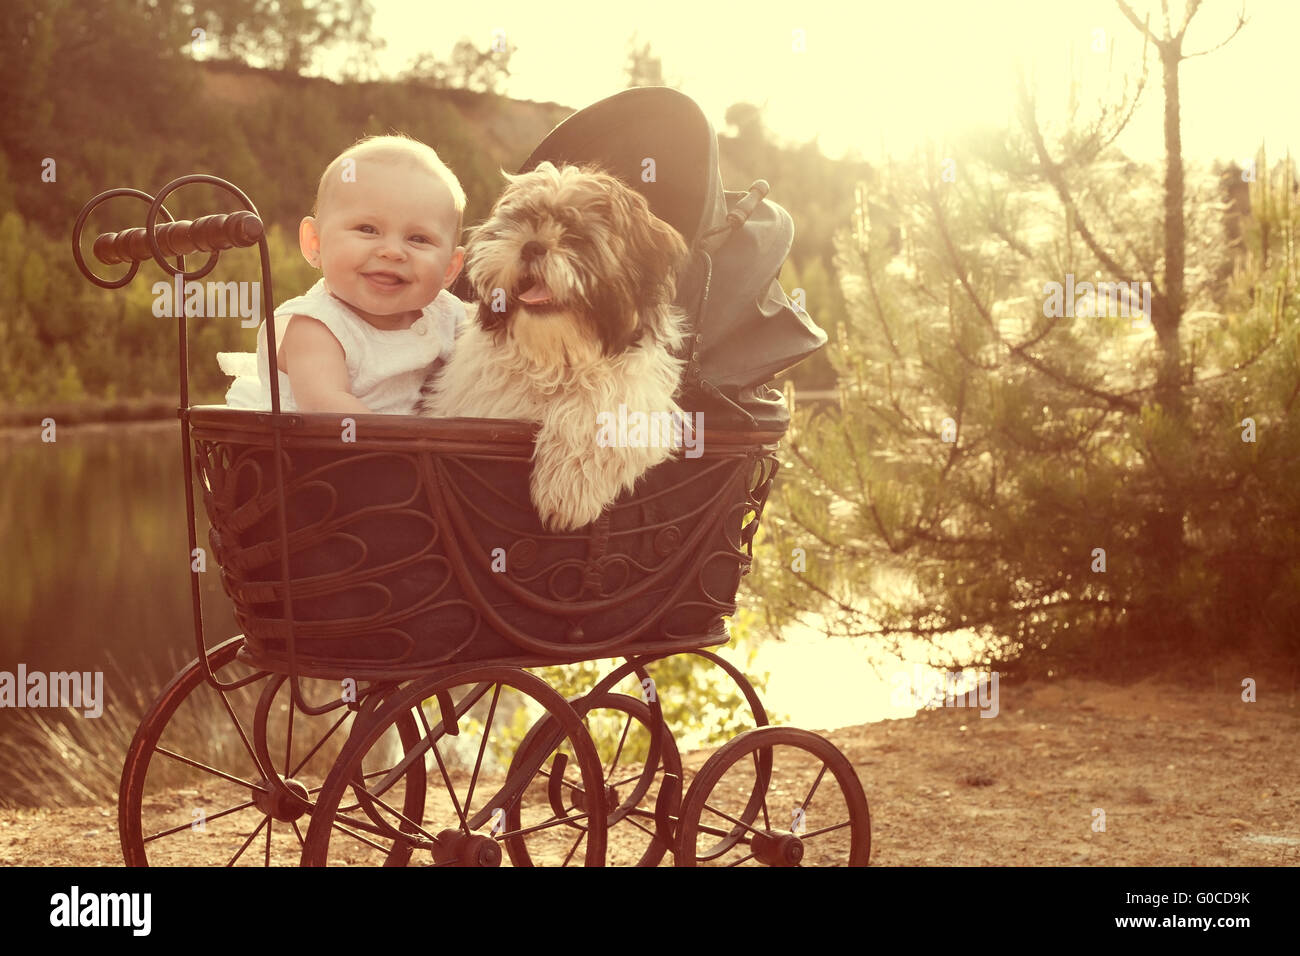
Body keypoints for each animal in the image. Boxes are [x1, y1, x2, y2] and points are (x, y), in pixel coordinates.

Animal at [421, 162, 696, 530]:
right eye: (521, 222)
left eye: (575, 235)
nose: (532, 245)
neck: (553, 360)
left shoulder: (637, 396)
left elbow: (602, 410)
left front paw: (567, 492)